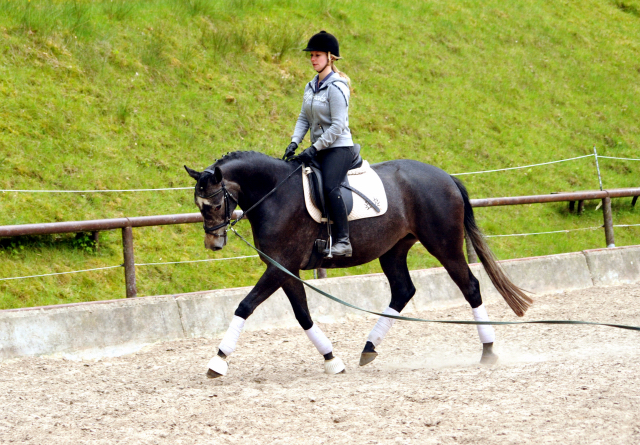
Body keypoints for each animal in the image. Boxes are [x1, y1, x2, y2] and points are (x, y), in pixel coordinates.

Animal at [184, 151, 528, 376]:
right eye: (198, 206)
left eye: (213, 204)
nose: (213, 244)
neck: (276, 195)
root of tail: (446, 177)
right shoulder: (285, 269)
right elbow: (302, 314)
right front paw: (331, 358)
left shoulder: (279, 265)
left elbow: (245, 305)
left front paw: (218, 360)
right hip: (393, 250)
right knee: (403, 291)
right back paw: (369, 348)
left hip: (443, 245)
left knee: (470, 287)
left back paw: (488, 350)